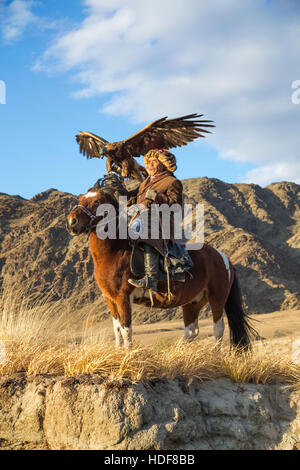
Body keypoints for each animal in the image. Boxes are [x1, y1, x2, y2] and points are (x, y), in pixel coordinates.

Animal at [67, 185, 256, 346]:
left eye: (97, 201)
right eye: (81, 198)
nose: (71, 222)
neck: (115, 253)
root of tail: (224, 258)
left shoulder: (123, 298)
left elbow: (127, 331)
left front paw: (128, 357)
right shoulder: (110, 299)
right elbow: (117, 331)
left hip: (217, 297)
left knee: (218, 329)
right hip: (193, 302)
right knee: (191, 331)